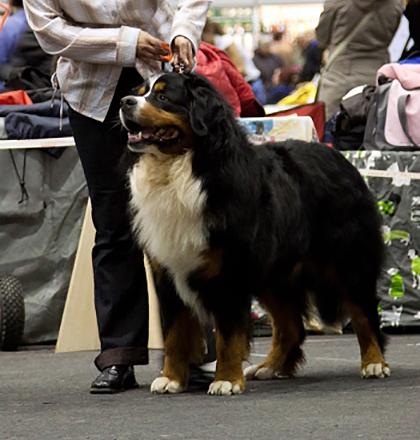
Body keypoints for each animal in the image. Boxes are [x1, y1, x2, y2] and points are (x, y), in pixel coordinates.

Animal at [119, 71, 390, 396]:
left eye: (162, 97)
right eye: (139, 92)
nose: (124, 102)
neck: (183, 170)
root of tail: (339, 157)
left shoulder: (229, 271)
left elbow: (227, 334)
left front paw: (226, 380)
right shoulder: (168, 270)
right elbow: (174, 332)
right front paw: (171, 379)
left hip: (347, 261)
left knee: (364, 313)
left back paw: (374, 363)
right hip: (276, 273)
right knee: (291, 327)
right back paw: (268, 367)